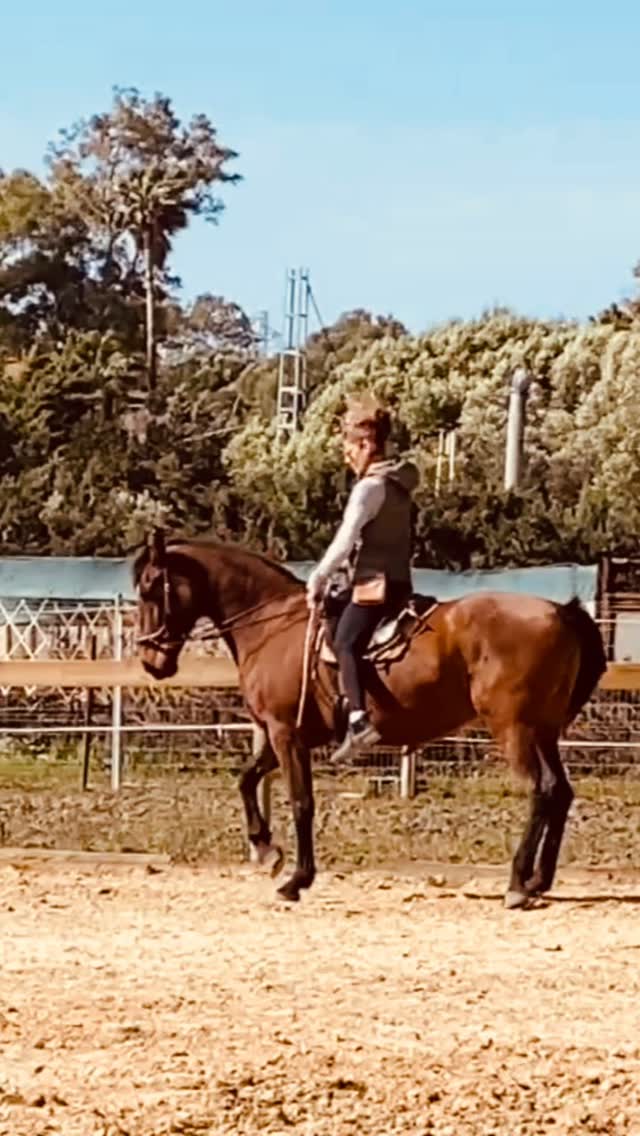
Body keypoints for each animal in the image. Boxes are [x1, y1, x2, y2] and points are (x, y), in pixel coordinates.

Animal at [134, 530, 607, 909]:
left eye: (150, 588)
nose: (150, 661)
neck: (272, 625)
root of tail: (560, 612)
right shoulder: (287, 735)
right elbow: (247, 779)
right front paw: (267, 850)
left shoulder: (286, 734)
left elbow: (301, 802)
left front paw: (296, 879)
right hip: (544, 731)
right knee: (561, 792)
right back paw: (540, 880)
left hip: (514, 730)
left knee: (542, 791)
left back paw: (517, 882)